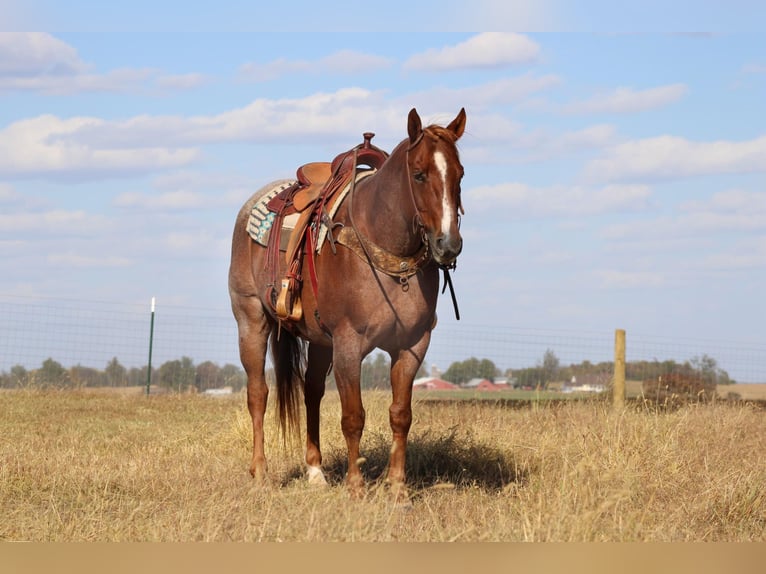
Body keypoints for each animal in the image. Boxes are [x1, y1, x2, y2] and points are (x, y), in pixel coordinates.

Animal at [228, 109, 468, 500]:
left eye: (460, 174)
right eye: (419, 174)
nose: (448, 244)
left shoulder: (412, 346)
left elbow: (400, 415)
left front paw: (397, 488)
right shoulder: (349, 344)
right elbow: (353, 416)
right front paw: (356, 488)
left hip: (319, 340)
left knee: (311, 392)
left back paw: (315, 471)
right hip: (252, 320)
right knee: (258, 394)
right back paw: (260, 473)